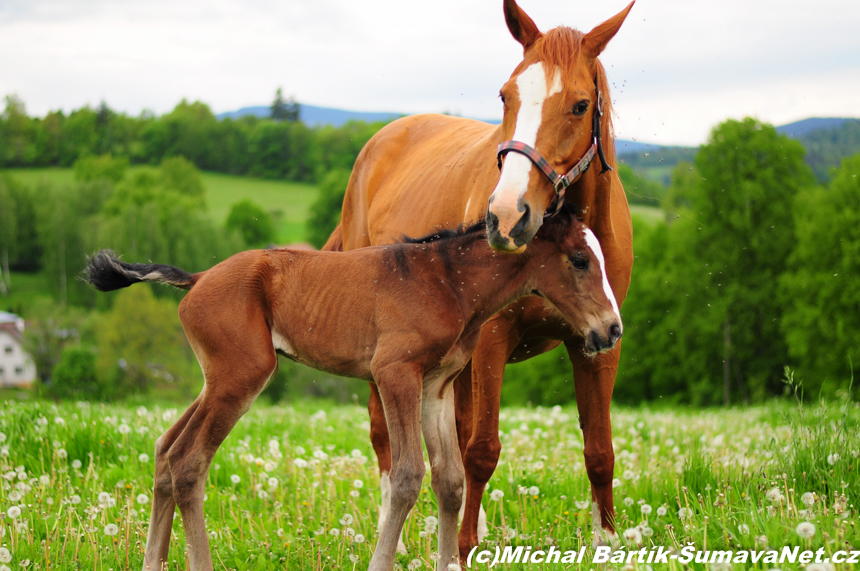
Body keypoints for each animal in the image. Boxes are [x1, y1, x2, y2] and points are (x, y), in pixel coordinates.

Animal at [85, 210, 620, 571]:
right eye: (578, 260)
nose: (611, 330)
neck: (449, 282)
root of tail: (196, 278)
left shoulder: (437, 385)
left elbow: (449, 480)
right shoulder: (394, 373)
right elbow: (407, 476)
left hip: (218, 379)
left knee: (164, 448)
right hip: (241, 377)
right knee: (189, 462)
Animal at [326, 0, 636, 560]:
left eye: (580, 105)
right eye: (505, 96)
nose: (507, 215)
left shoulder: (599, 342)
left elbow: (599, 450)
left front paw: (606, 545)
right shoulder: (493, 340)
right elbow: (482, 450)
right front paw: (463, 548)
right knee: (387, 433)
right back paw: (394, 535)